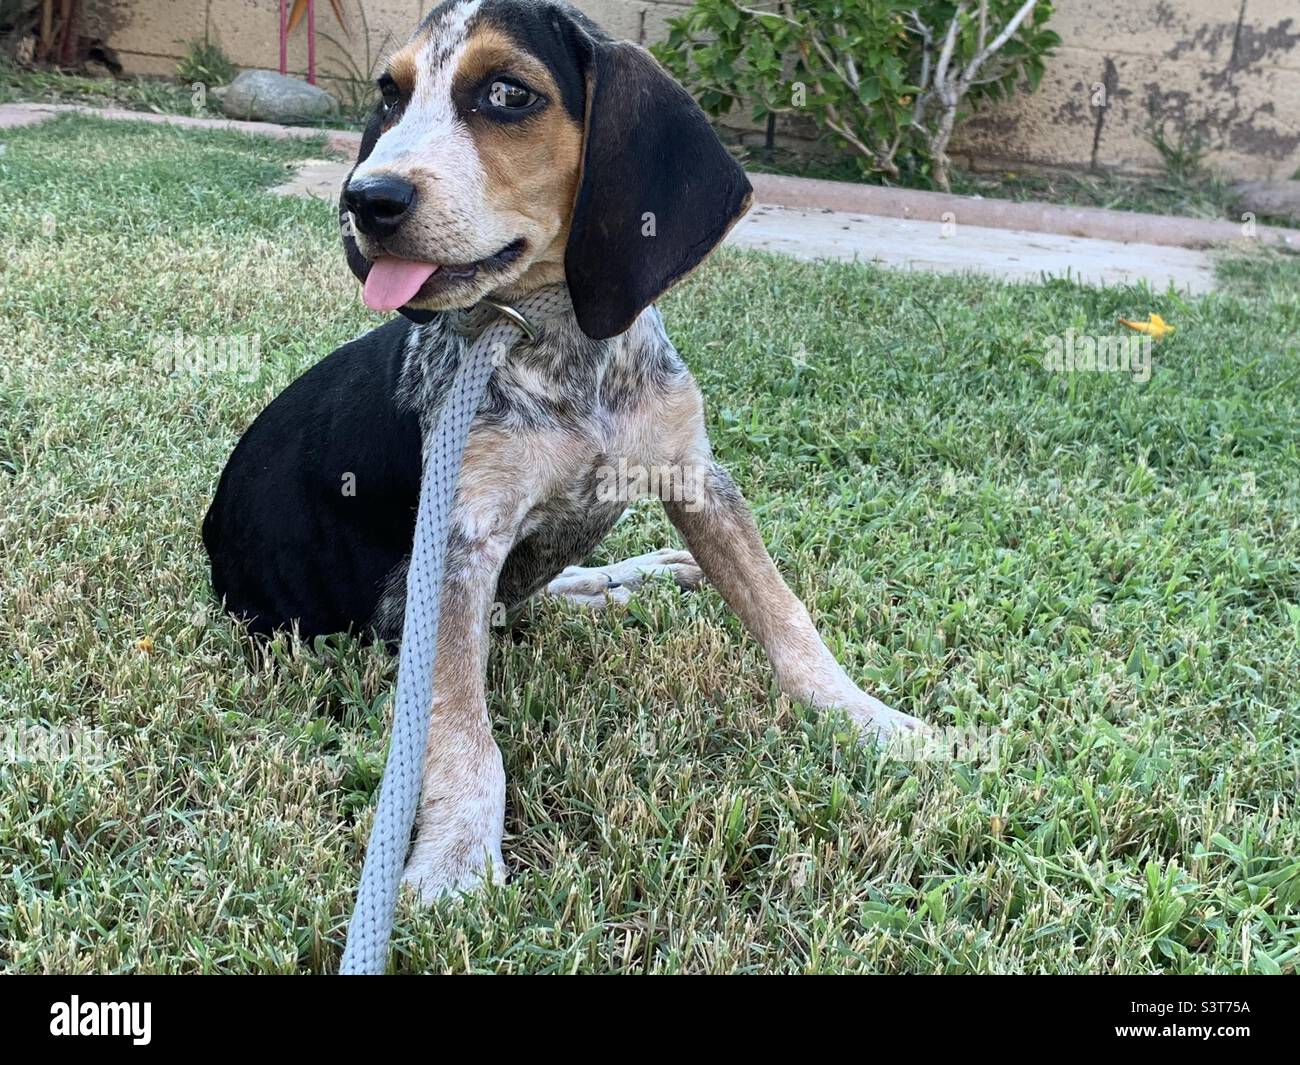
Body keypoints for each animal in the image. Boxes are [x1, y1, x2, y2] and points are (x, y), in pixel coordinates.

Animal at [202, 0, 925, 899]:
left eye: (508, 94)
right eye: (390, 94)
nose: (364, 198)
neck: (557, 343)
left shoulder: (698, 475)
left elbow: (784, 614)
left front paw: (870, 718)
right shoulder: (461, 542)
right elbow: (461, 728)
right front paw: (456, 857)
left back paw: (639, 576)